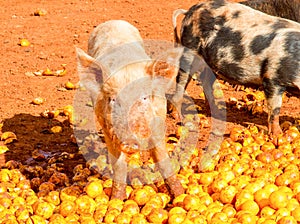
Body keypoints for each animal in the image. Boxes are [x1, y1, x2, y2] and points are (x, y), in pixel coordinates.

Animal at [76, 20, 184, 200]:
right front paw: (116, 200)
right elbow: (119, 165)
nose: (129, 141)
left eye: (144, 98)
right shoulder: (107, 127)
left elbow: (163, 159)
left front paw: (179, 194)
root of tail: (113, 21)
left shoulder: (159, 118)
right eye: (113, 99)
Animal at [171, 0, 300, 135]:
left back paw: (217, 112)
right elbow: (275, 109)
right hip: (190, 49)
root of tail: (189, 12)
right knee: (182, 81)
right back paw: (178, 117)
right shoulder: (272, 77)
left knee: (206, 82)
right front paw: (278, 135)